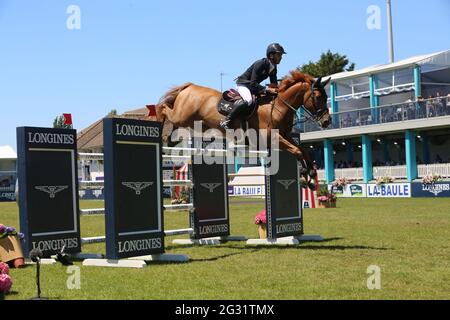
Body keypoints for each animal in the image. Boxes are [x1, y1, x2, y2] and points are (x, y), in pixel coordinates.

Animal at [155, 70, 330, 185]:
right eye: (318, 97)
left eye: (327, 96)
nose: (327, 121)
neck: (278, 106)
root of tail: (189, 87)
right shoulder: (272, 138)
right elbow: (297, 151)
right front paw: (304, 175)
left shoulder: (285, 136)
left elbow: (303, 150)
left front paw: (311, 173)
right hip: (182, 115)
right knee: (164, 108)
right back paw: (159, 125)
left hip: (193, 123)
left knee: (174, 125)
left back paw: (168, 141)